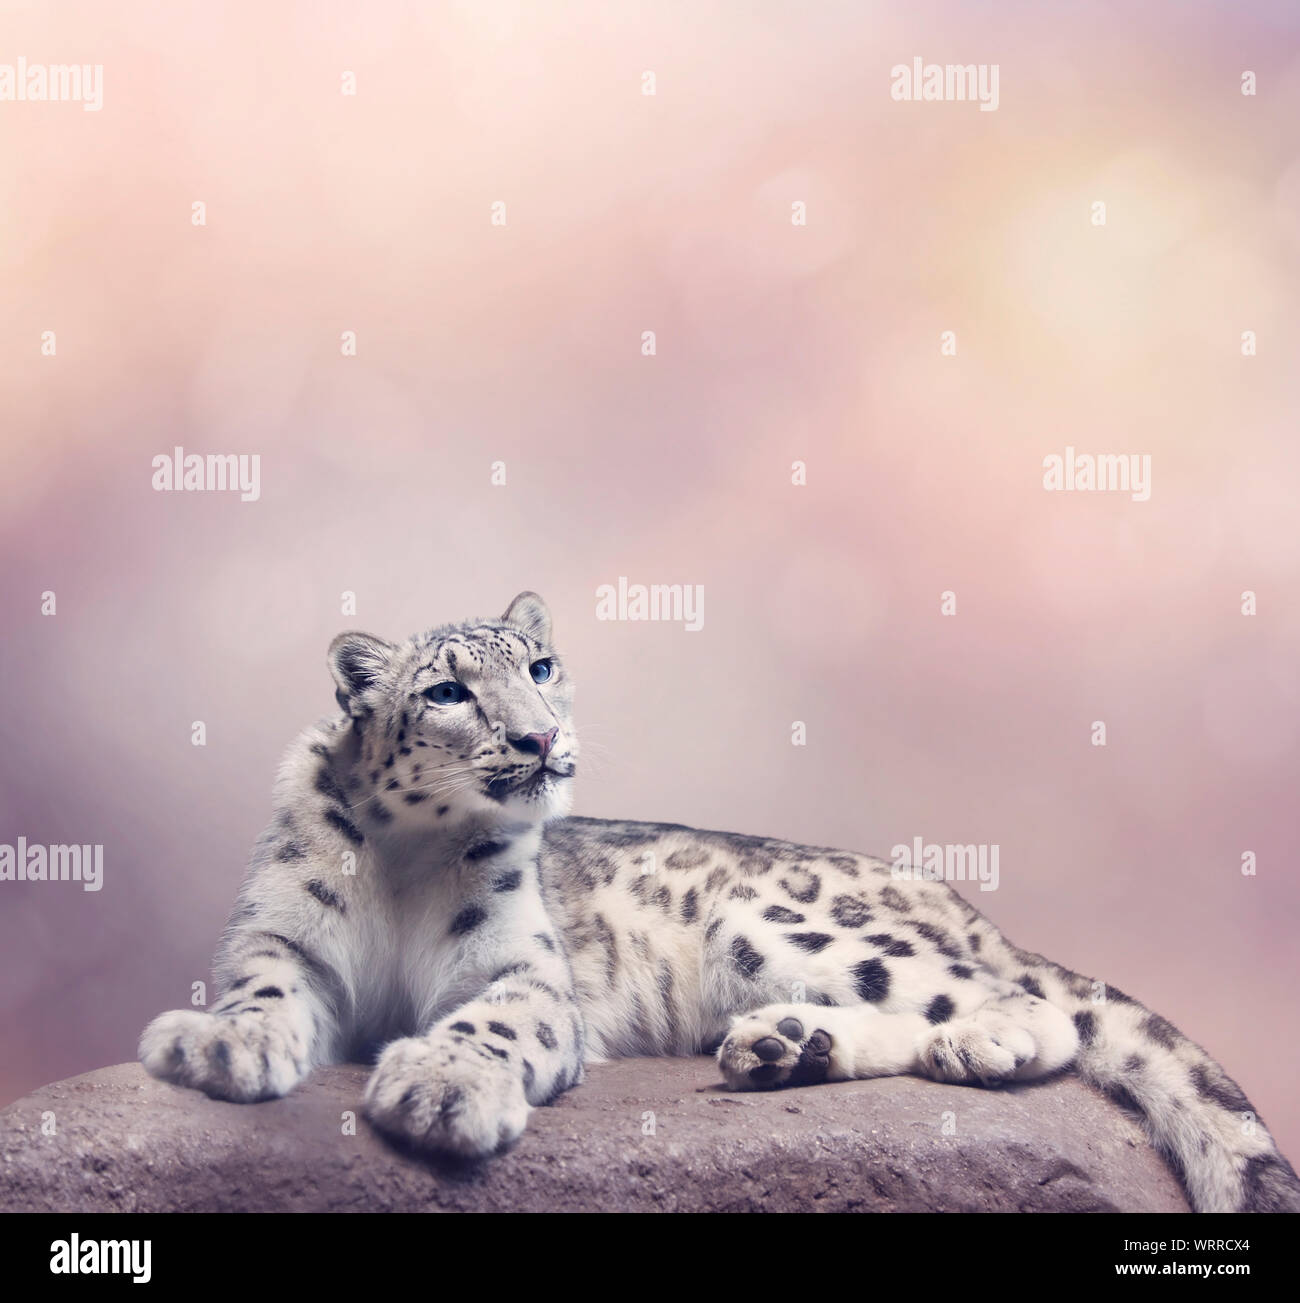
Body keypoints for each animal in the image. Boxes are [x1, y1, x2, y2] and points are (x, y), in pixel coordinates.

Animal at [139, 592, 1300, 1213]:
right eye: (448, 690)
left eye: (542, 665)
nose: (540, 737)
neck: (408, 863)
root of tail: (955, 898)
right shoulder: (282, 940)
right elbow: (262, 993)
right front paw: (217, 1044)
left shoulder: (519, 970)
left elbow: (493, 1019)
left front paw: (438, 1085)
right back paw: (786, 1047)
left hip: (774, 920)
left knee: (1030, 1004)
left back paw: (964, 1042)